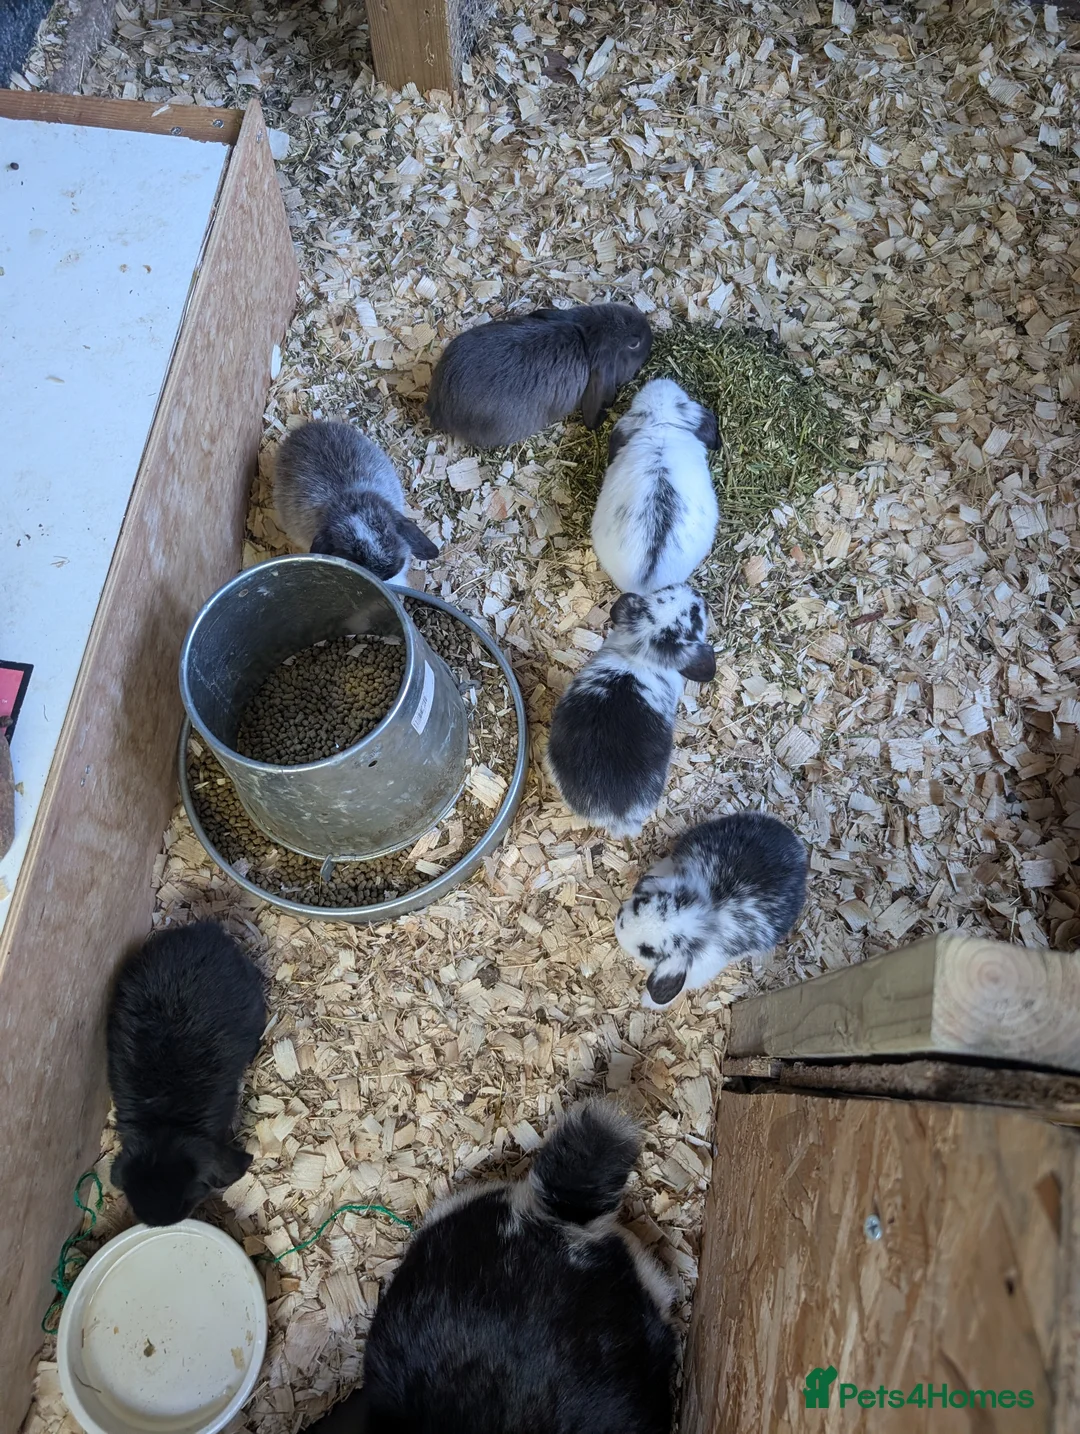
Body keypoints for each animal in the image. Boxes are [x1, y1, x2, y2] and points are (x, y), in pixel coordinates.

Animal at [616, 812, 808, 1009]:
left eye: (647, 950)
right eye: (641, 903)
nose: (620, 921)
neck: (707, 912)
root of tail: (797, 846)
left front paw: (648, 1003)